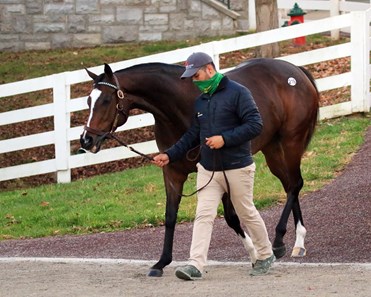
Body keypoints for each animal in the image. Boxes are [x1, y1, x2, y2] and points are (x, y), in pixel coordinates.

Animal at [80, 59, 320, 276]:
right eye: (88, 101)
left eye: (106, 100)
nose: (86, 140)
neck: (178, 108)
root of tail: (296, 71)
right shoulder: (172, 172)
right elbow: (170, 216)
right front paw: (161, 263)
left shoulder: (218, 170)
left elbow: (232, 217)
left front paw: (254, 255)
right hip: (272, 149)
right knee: (290, 185)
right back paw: (298, 241)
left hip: (291, 142)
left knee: (295, 184)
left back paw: (280, 241)